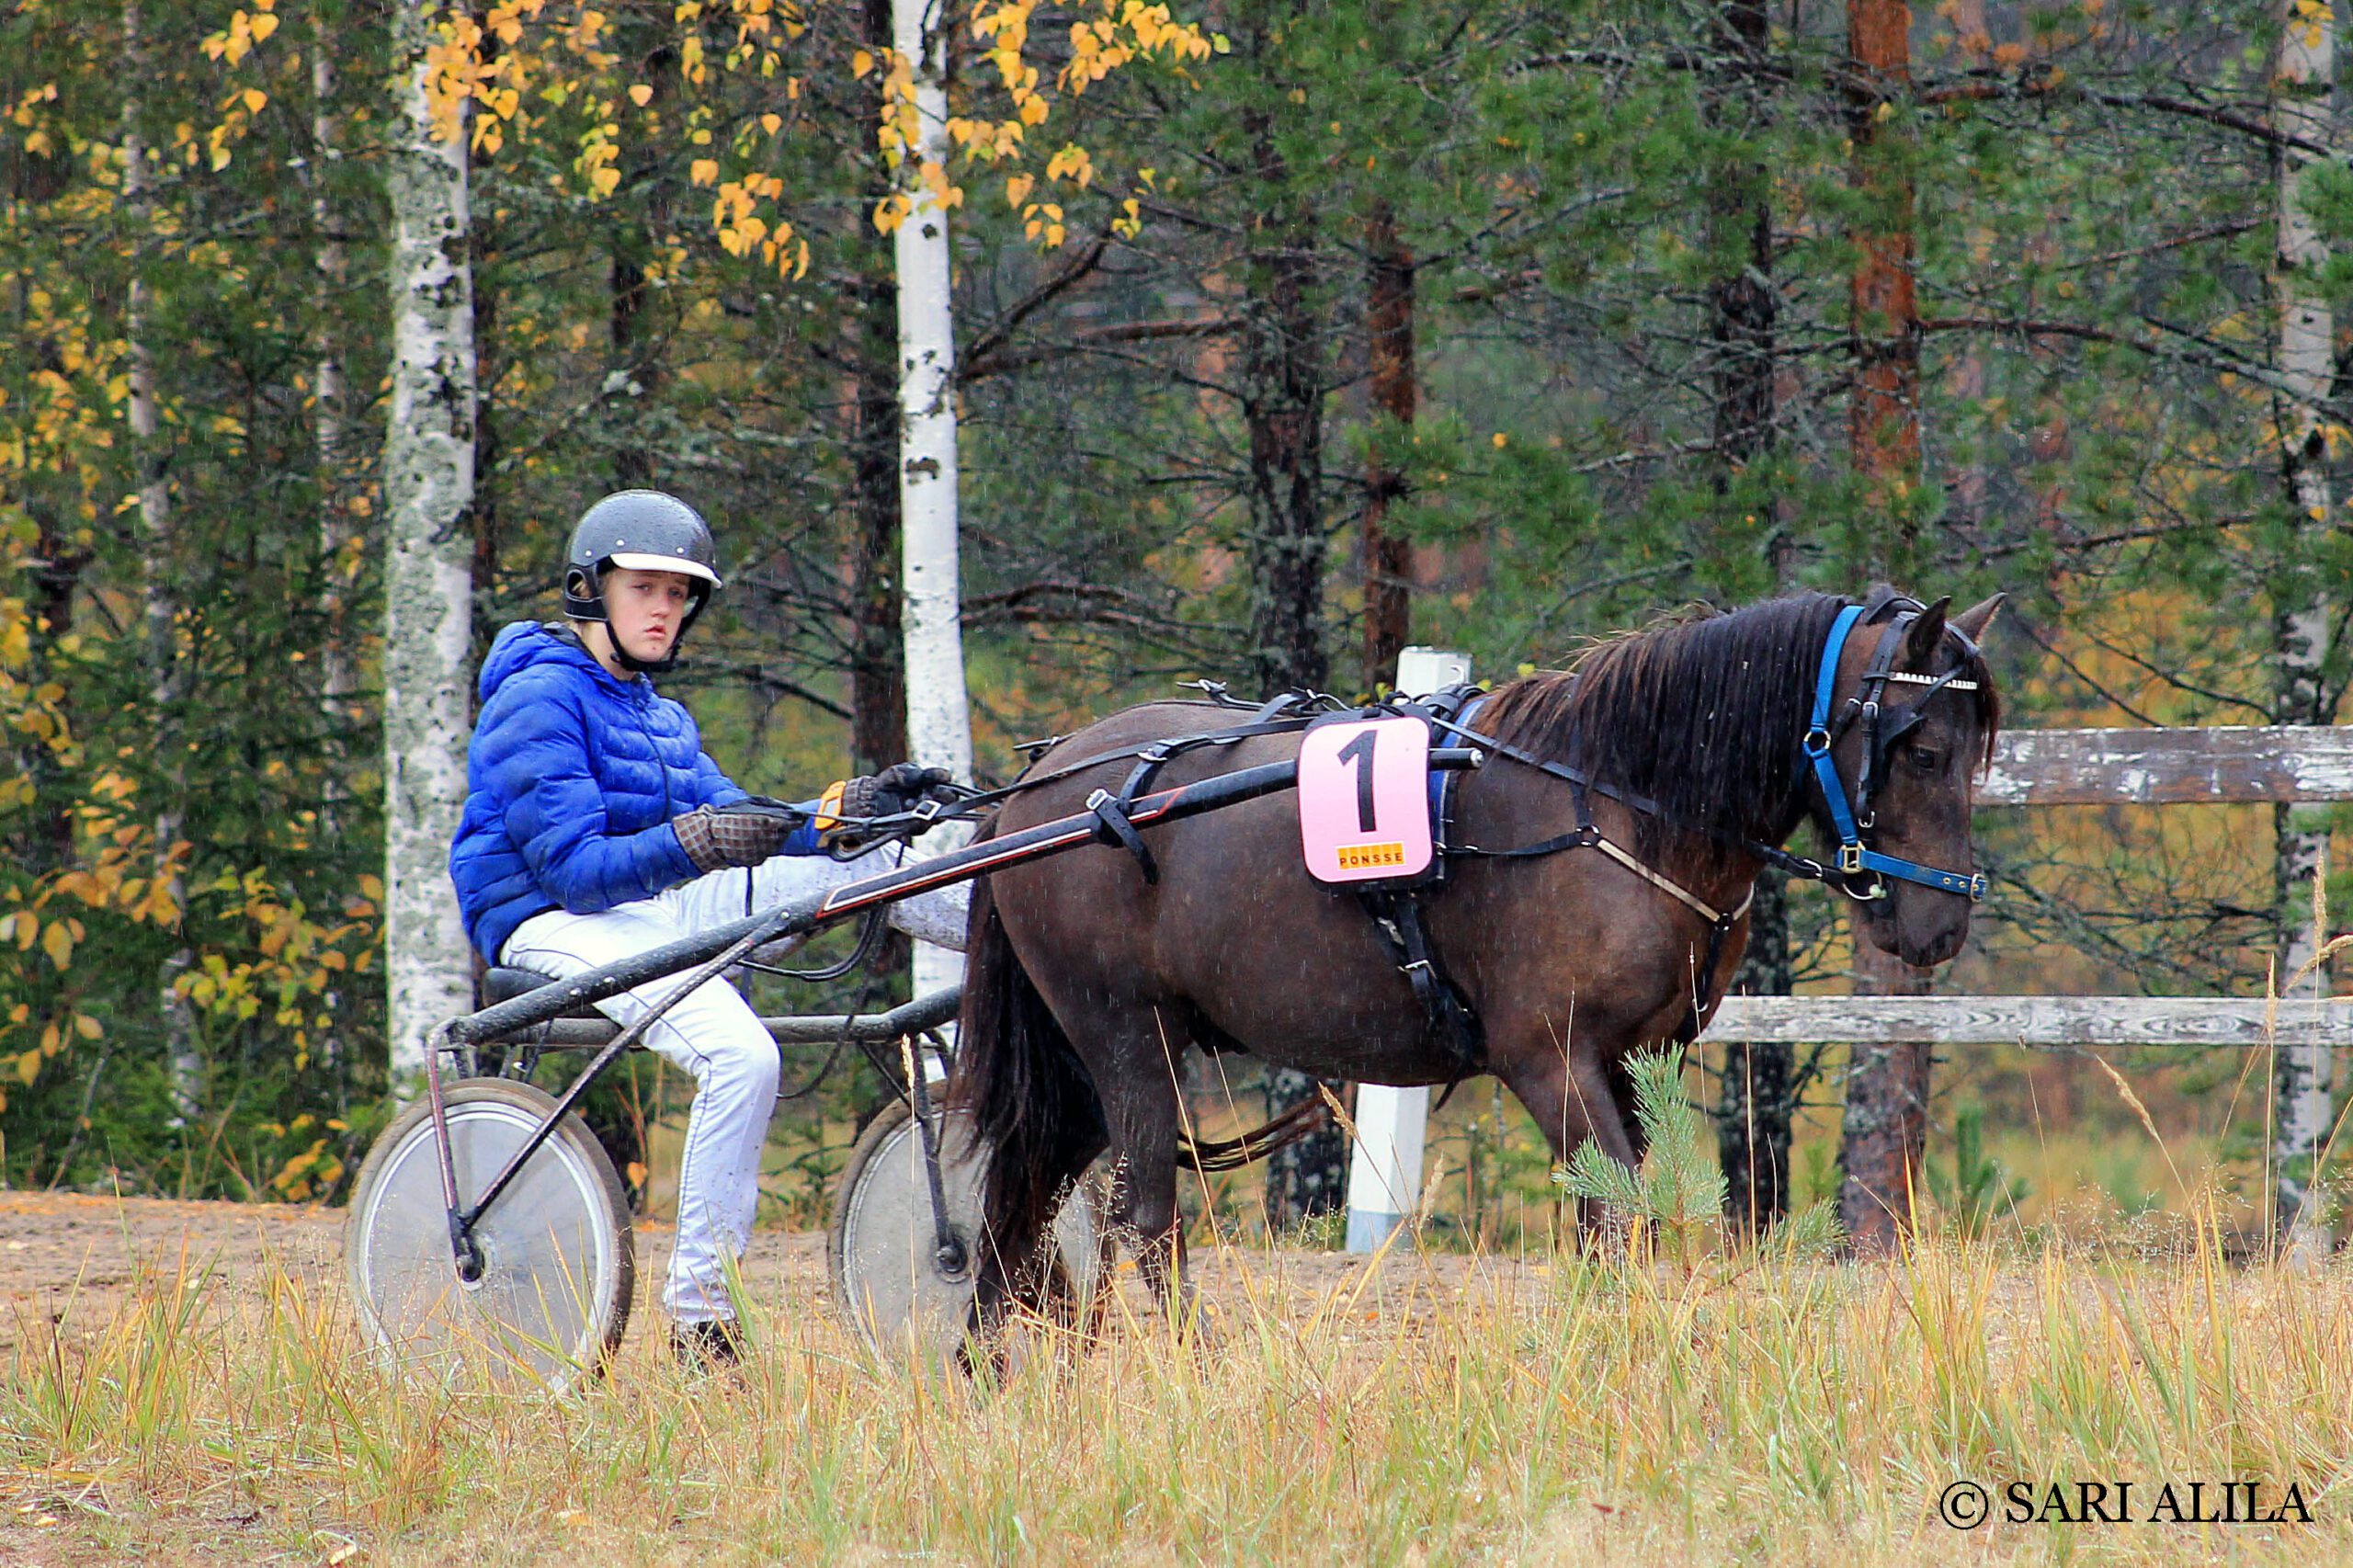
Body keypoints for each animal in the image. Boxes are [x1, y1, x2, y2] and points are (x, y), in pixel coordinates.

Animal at [947, 587, 2004, 1334]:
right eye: (1921, 749)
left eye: (1974, 752)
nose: (1940, 924)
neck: (1612, 802)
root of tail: (1038, 788)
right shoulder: (1550, 1059)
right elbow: (1617, 1215)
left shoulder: (1634, 1059)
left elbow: (1627, 1213)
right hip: (1128, 1037)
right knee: (1146, 1215)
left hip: (1089, 1063)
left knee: (1022, 1204)